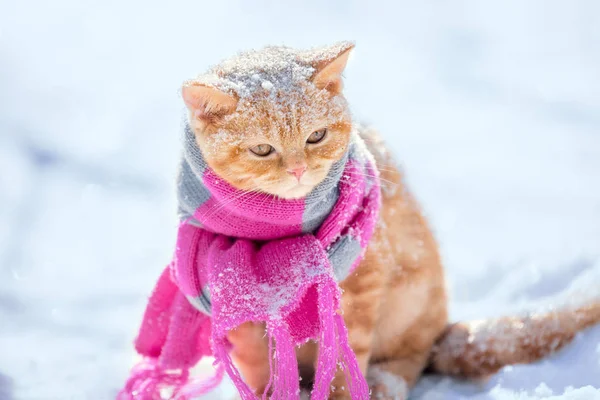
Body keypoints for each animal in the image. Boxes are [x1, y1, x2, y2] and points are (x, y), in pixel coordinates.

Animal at [179, 42, 600, 398]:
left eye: (317, 136)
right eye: (263, 149)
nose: (298, 170)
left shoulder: (364, 284)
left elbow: (343, 365)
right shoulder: (239, 308)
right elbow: (261, 370)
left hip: (412, 303)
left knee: (411, 359)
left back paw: (386, 383)